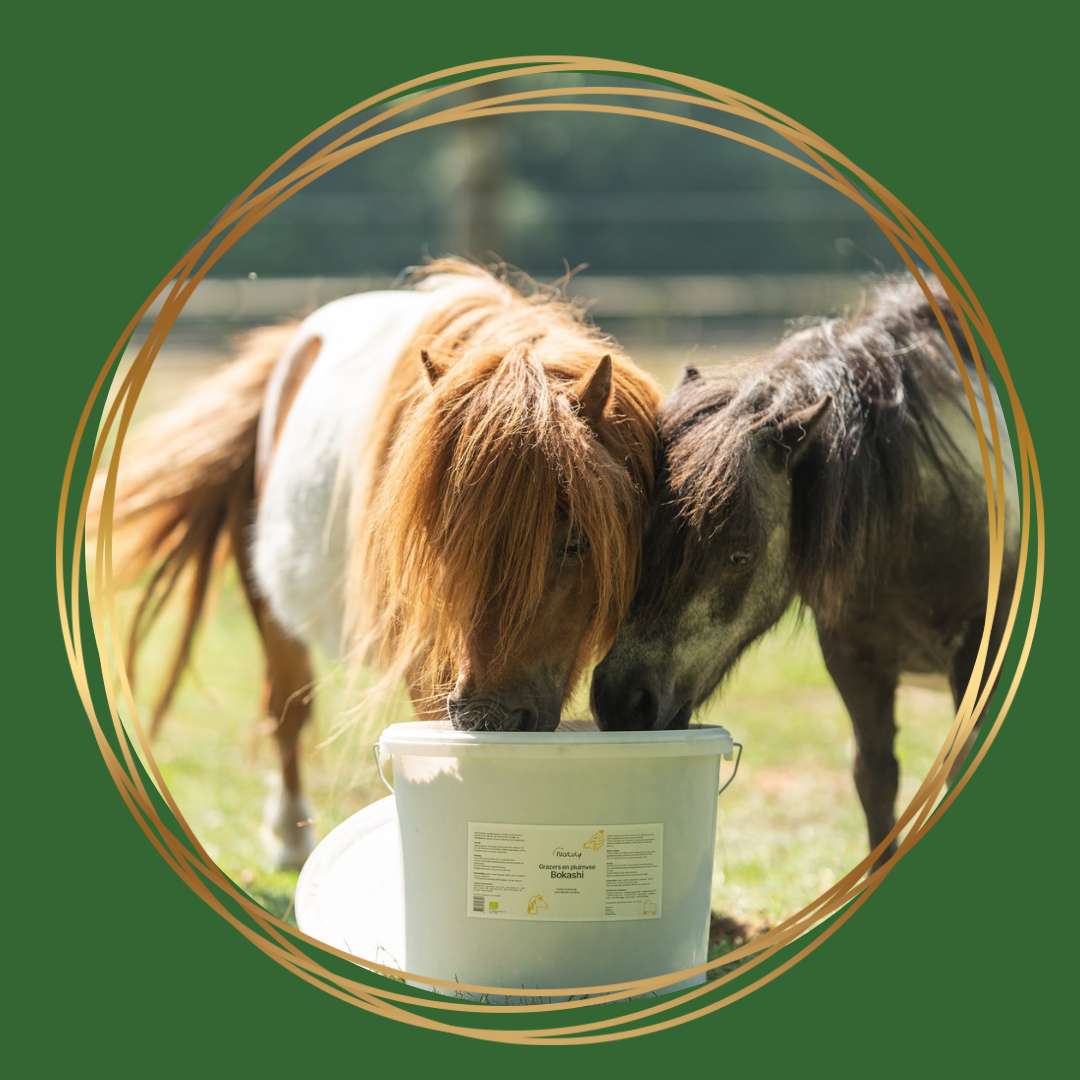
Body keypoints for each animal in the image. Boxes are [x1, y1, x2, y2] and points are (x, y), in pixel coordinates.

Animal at [96, 258, 660, 868]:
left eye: (576, 541)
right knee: (288, 709)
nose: (487, 719)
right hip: (273, 609)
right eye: (440, 542)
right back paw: (291, 838)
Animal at [590, 274, 1019, 871]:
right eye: (635, 534)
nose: (621, 701)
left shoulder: (977, 656)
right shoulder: (853, 660)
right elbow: (875, 778)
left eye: (740, 553)